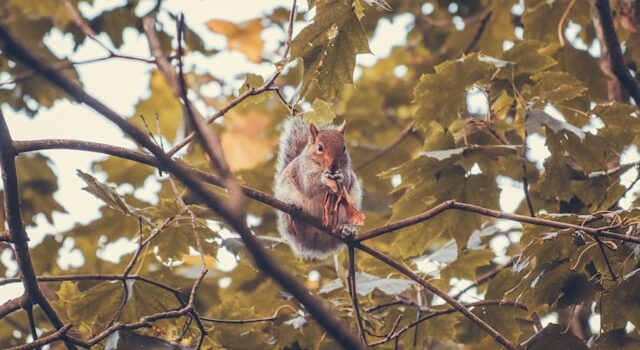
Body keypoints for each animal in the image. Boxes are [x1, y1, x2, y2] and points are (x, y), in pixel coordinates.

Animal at [274, 117, 362, 260]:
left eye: (344, 148)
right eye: (320, 147)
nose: (333, 166)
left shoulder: (348, 172)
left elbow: (347, 182)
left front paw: (341, 177)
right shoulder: (303, 169)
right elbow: (309, 184)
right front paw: (323, 177)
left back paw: (348, 228)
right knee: (294, 230)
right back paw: (294, 215)